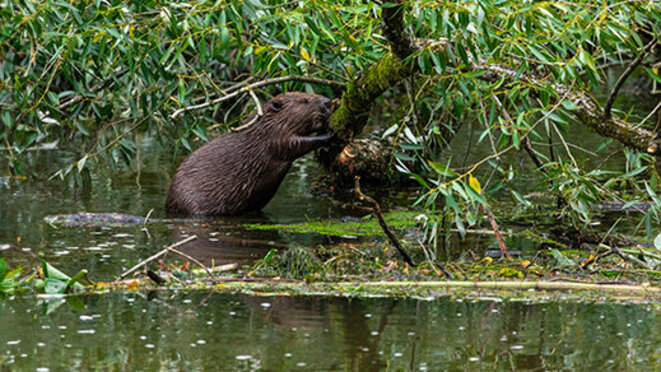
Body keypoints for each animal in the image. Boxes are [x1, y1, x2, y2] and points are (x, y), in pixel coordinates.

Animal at [163, 91, 332, 217]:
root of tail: (167, 205)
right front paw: (327, 135)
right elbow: (293, 145)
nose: (328, 101)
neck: (264, 125)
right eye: (304, 100)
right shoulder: (274, 136)